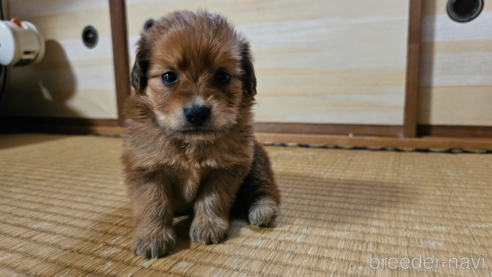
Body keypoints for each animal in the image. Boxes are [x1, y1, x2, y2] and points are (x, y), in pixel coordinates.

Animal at [122, 9, 280, 258]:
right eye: (169, 77)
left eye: (223, 76)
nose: (197, 112)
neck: (191, 143)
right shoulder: (146, 169)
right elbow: (151, 205)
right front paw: (152, 236)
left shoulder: (228, 167)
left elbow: (212, 198)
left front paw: (208, 225)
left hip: (257, 161)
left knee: (266, 189)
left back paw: (263, 209)